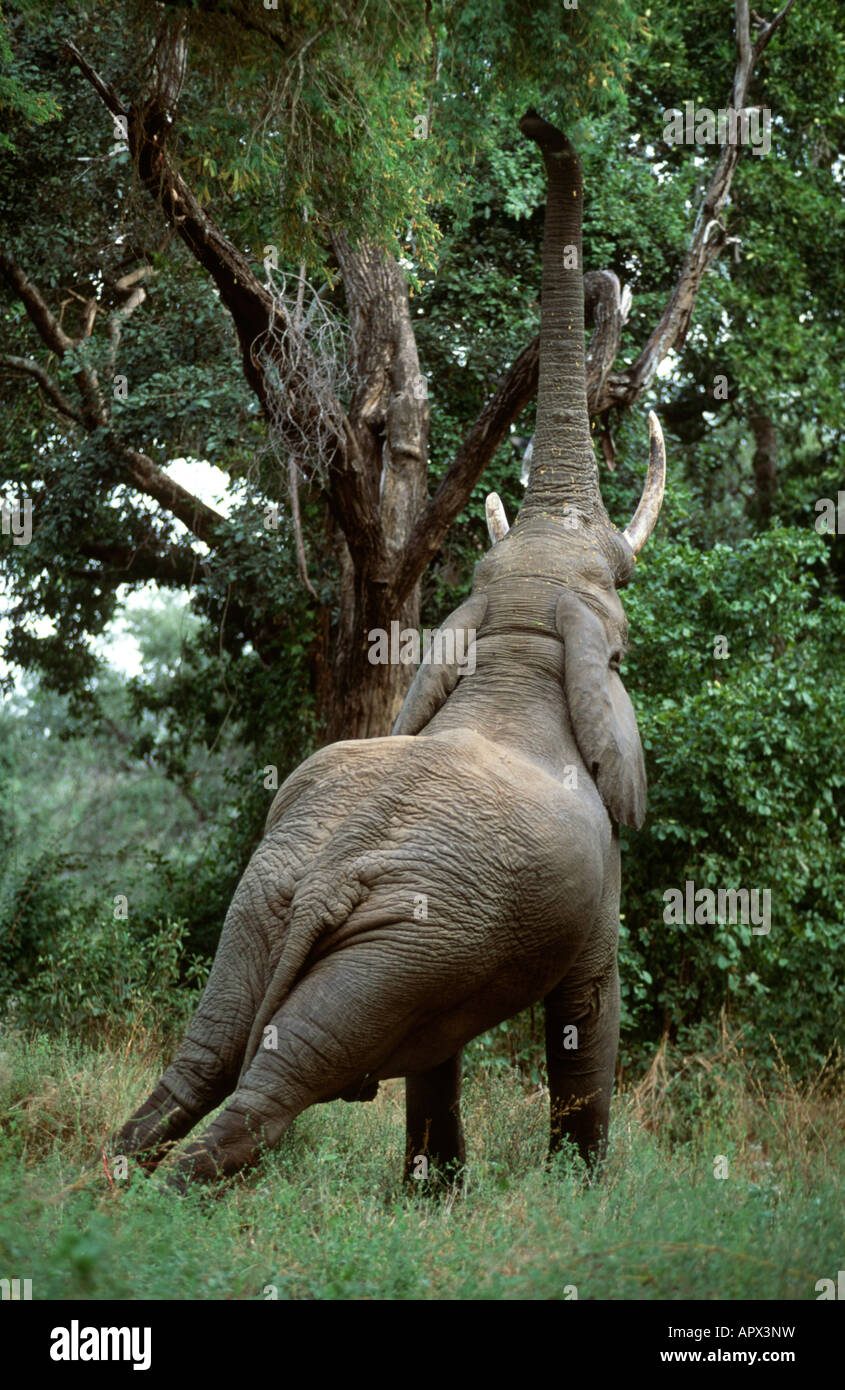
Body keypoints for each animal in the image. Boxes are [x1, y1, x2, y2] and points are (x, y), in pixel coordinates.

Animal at [113, 113, 667, 1189]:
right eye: (620, 621)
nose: (537, 119)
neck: (516, 653)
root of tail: (330, 877)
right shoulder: (585, 905)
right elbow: (587, 1008)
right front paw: (578, 1195)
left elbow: (435, 1046)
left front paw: (432, 1198)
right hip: (405, 939)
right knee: (265, 1094)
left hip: (291, 908)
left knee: (205, 1057)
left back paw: (115, 1176)